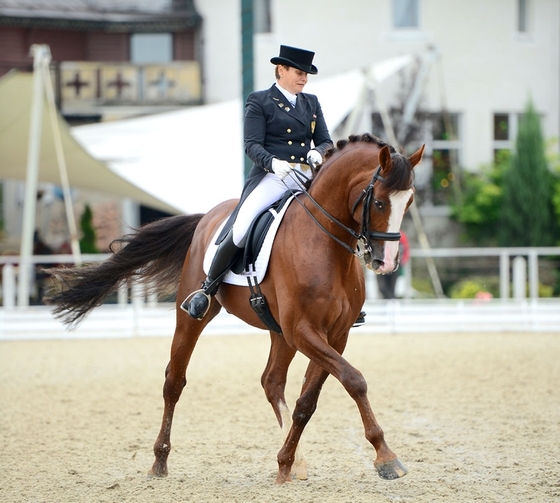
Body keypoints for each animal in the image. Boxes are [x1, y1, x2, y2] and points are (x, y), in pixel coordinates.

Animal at [47, 134, 424, 484]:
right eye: (379, 202)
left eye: (409, 202)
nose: (386, 263)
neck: (326, 244)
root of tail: (210, 216)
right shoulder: (304, 331)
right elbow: (354, 380)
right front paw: (386, 457)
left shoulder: (335, 334)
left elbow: (309, 400)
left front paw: (286, 463)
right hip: (195, 316)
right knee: (174, 381)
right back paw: (159, 461)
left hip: (278, 332)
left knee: (271, 382)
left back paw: (294, 462)